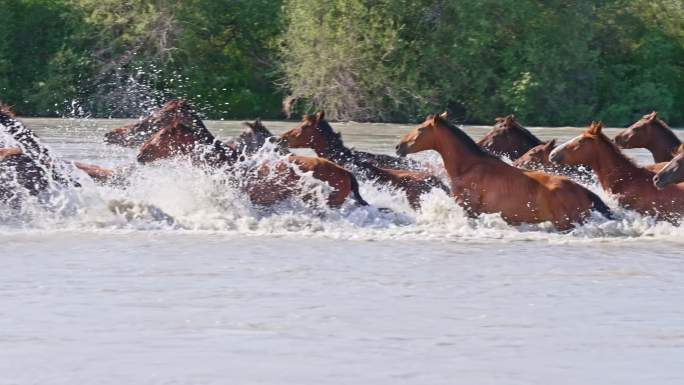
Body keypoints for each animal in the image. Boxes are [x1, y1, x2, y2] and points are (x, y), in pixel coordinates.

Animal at [392, 112, 612, 230]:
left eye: (421, 129)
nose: (398, 146)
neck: (468, 167)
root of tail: (584, 191)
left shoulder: (469, 210)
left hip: (566, 224)